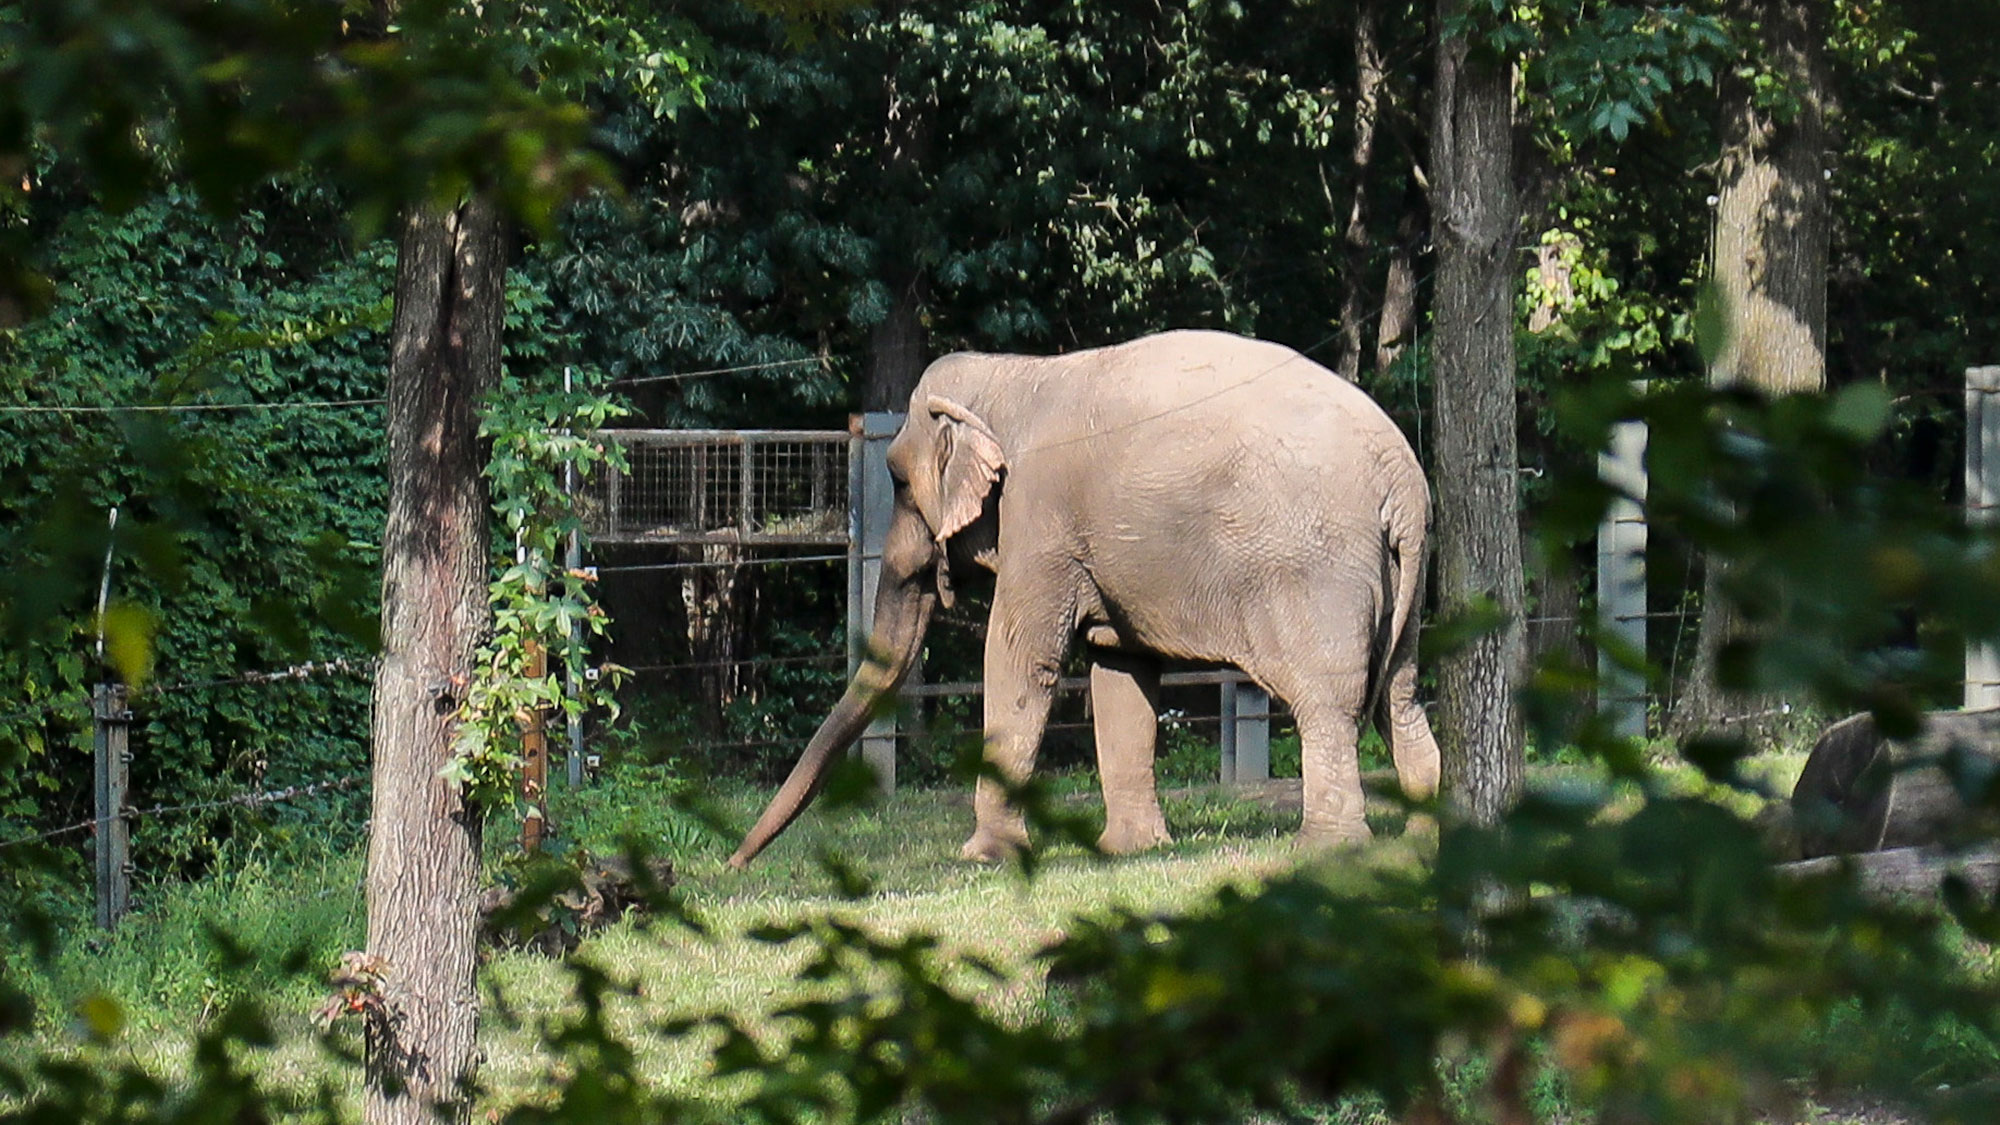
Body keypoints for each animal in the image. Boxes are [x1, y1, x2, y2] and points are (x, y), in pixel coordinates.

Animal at [728, 328, 1448, 860]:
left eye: (898, 482)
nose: (735, 863)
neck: (1012, 374)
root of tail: (1403, 478)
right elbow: (1120, 672)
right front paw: (1132, 850)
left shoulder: (1039, 520)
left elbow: (1019, 658)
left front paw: (984, 857)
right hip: (1399, 578)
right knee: (1400, 693)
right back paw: (1423, 837)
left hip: (1313, 573)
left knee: (1328, 702)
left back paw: (1328, 847)